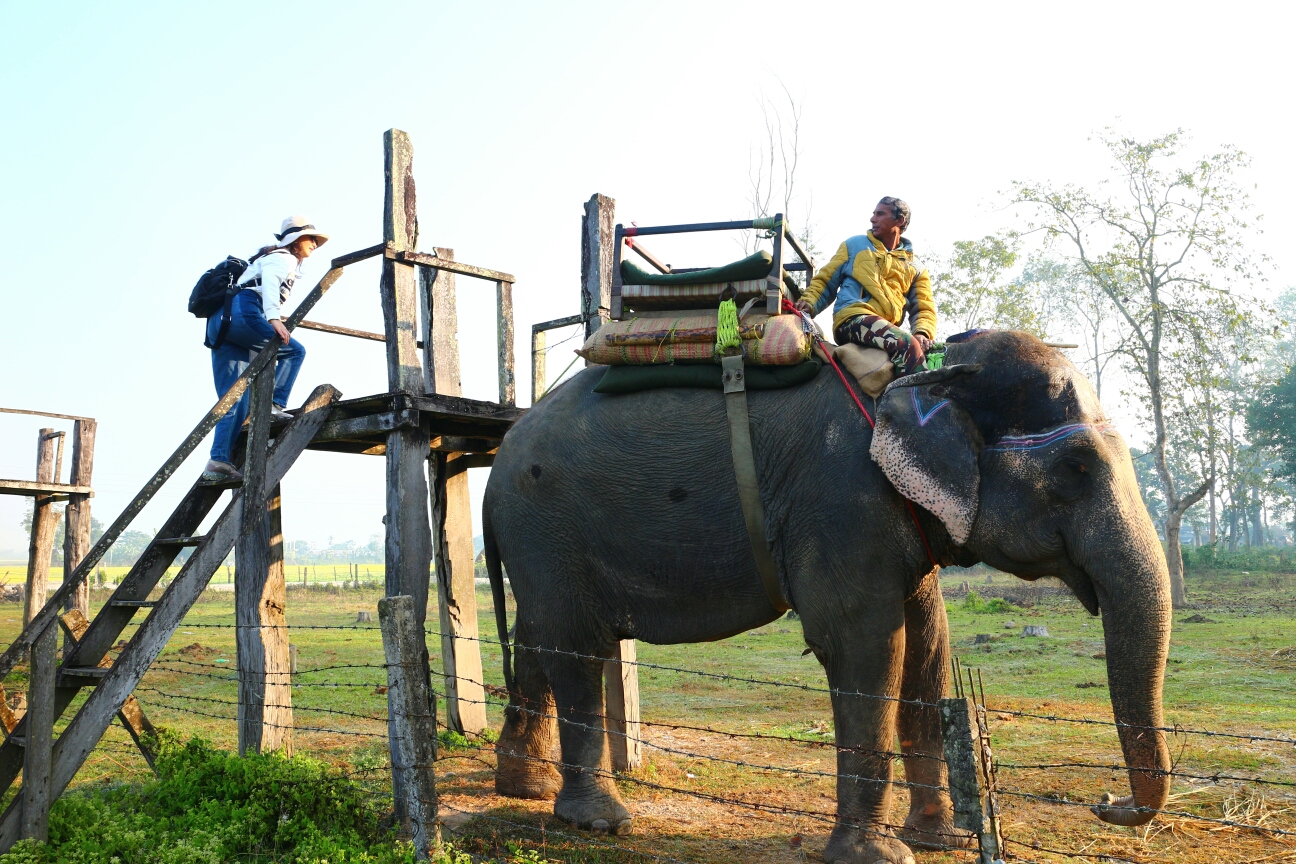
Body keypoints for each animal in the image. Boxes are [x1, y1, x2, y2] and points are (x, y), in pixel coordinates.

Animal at [482, 327, 1171, 860]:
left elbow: (928, 648)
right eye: (1078, 467)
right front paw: (880, 856)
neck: (922, 376)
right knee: (575, 645)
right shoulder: (841, 501)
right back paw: (600, 820)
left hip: (539, 542)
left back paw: (525, 787)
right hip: (547, 524)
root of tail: (497, 465)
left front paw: (938, 840)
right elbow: (864, 644)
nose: (1107, 801)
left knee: (537, 635)